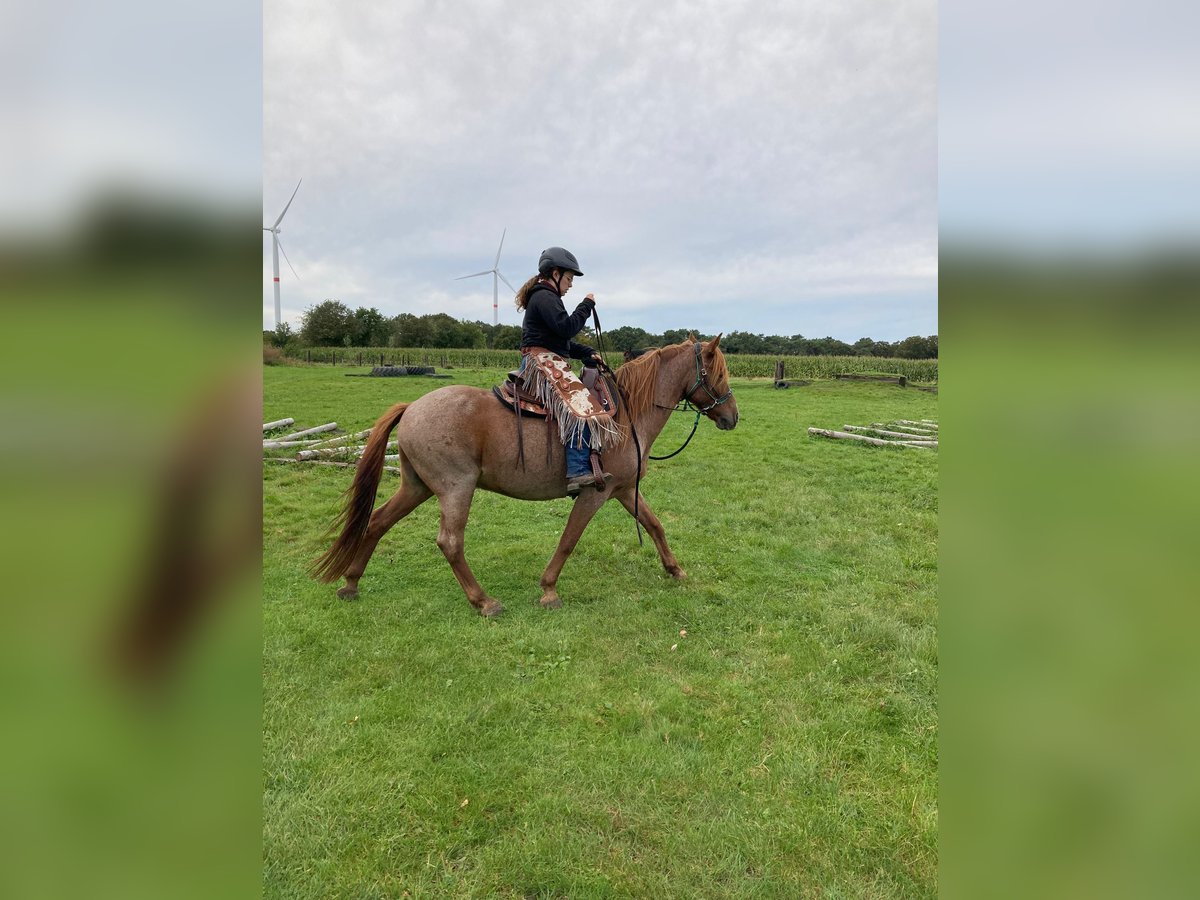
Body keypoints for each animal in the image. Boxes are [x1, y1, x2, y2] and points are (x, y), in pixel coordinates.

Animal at [309, 336, 734, 619]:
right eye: (717, 373)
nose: (733, 416)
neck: (626, 415)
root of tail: (412, 406)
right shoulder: (596, 493)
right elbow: (568, 540)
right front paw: (548, 590)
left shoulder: (625, 489)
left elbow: (655, 524)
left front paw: (674, 569)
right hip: (455, 488)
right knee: (450, 542)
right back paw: (484, 601)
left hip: (417, 487)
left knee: (377, 522)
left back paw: (351, 584)